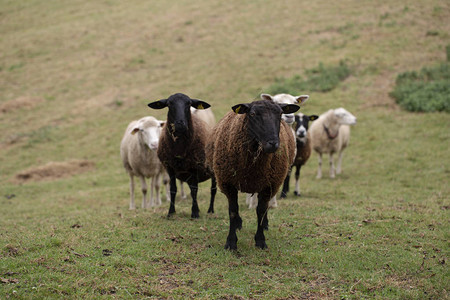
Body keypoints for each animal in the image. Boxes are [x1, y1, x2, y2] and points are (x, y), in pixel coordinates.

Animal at [207, 99, 298, 250]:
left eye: (280, 114)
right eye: (253, 114)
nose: (273, 143)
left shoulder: (268, 186)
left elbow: (261, 211)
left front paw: (260, 241)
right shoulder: (228, 184)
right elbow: (233, 211)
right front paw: (231, 242)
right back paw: (238, 225)